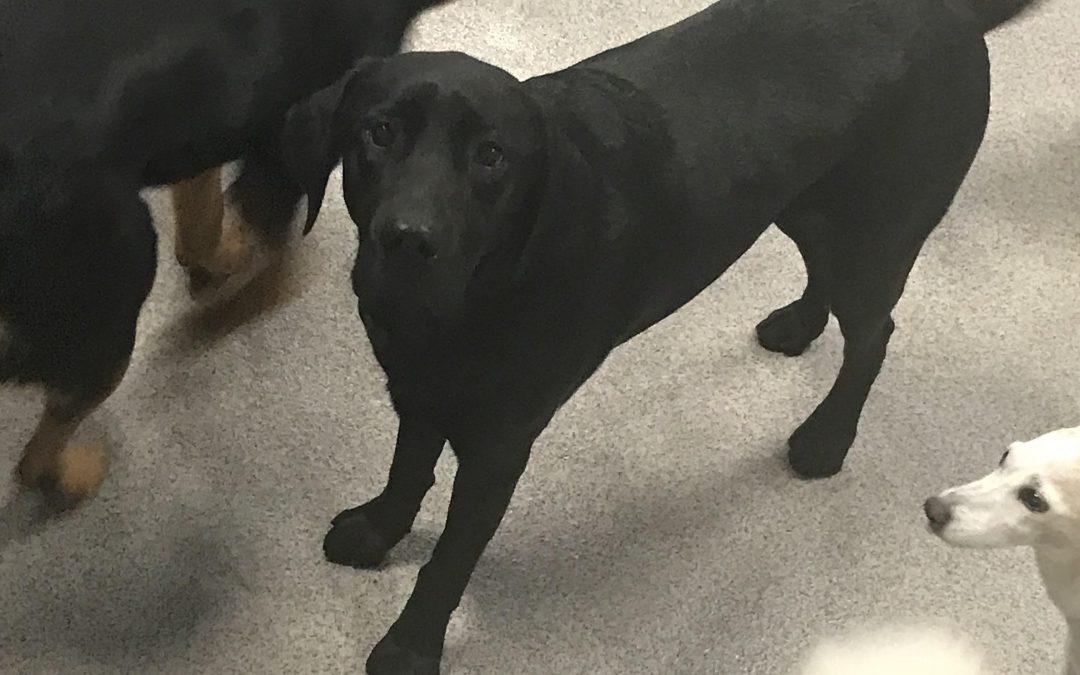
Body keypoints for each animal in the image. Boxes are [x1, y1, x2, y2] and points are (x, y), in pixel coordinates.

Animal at [0, 0, 447, 505]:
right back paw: (75, 477)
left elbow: (202, 222)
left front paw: (217, 261)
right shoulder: (292, 147)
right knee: (37, 452)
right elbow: (261, 241)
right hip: (114, 280)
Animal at [285, 0, 1045, 669]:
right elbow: (408, 469)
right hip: (803, 206)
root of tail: (953, 15)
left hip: (874, 234)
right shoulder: (419, 387)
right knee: (825, 279)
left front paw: (409, 646)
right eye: (380, 132)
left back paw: (826, 438)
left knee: (874, 335)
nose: (408, 240)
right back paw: (798, 325)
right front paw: (377, 531)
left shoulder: (498, 446)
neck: (477, 293)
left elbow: (448, 561)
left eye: (491, 155)